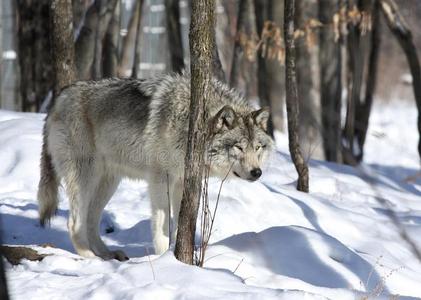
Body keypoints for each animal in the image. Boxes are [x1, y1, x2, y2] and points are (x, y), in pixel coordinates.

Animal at [37, 72, 274, 260]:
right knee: (74, 222)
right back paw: (89, 256)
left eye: (258, 147)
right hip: (84, 178)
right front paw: (164, 259)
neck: (190, 124)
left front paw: (177, 255)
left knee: (90, 220)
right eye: (239, 147)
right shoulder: (160, 180)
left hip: (108, 183)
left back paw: (107, 255)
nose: (257, 172)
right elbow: (162, 228)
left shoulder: (182, 182)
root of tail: (59, 98)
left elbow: (180, 225)